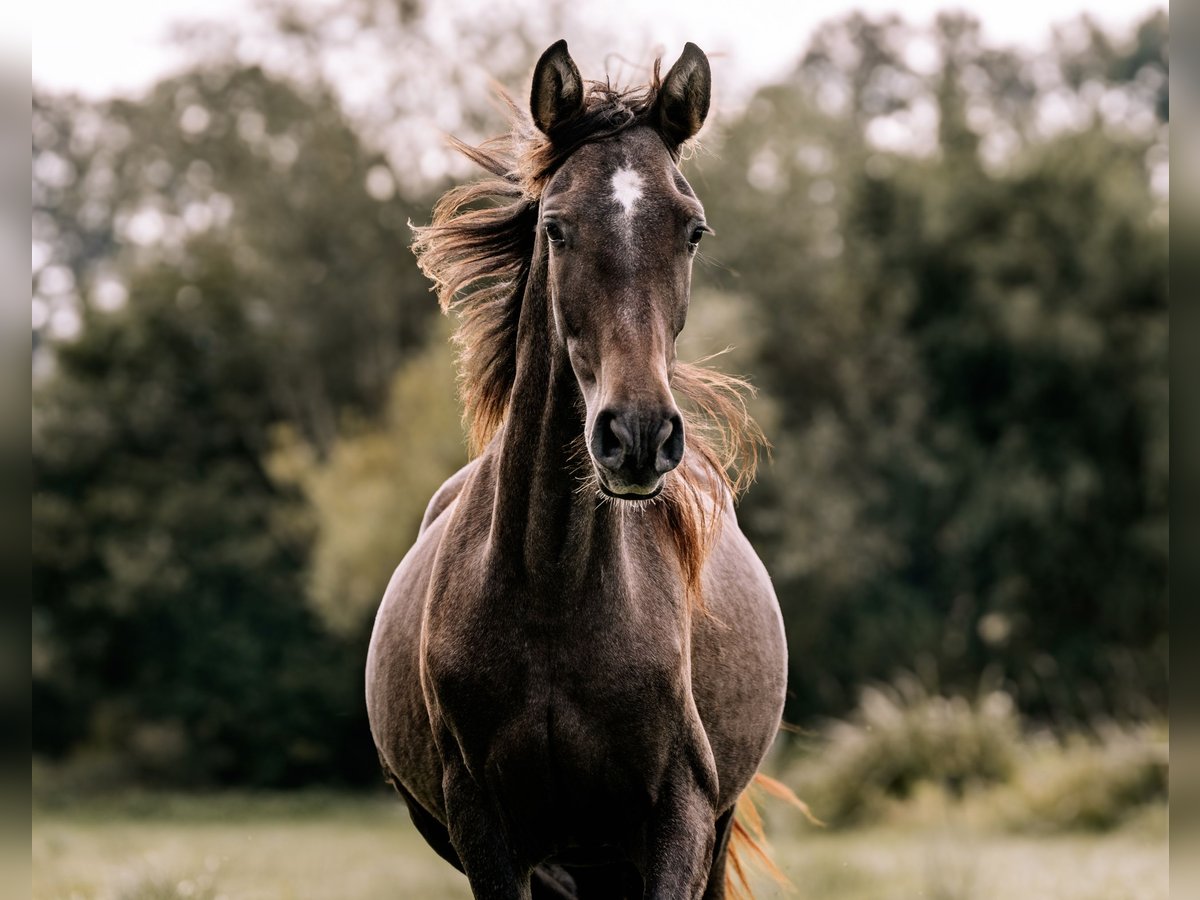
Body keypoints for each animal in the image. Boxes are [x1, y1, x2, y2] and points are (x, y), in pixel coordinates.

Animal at [369, 38, 792, 897]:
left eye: (693, 230)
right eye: (557, 228)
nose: (638, 434)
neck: (552, 593)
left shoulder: (681, 815)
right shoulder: (486, 828)